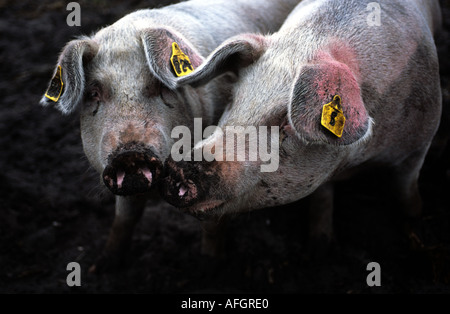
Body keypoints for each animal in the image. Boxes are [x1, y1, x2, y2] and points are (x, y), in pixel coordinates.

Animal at [39, 0, 302, 272]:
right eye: (93, 93)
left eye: (160, 86)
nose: (129, 153)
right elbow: (124, 218)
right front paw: (101, 266)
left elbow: (212, 223)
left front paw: (210, 265)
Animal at [163, 0, 442, 255]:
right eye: (233, 98)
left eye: (287, 121)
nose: (181, 165)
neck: (357, 160)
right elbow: (322, 199)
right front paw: (320, 244)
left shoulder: (421, 143)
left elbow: (406, 191)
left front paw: (417, 218)